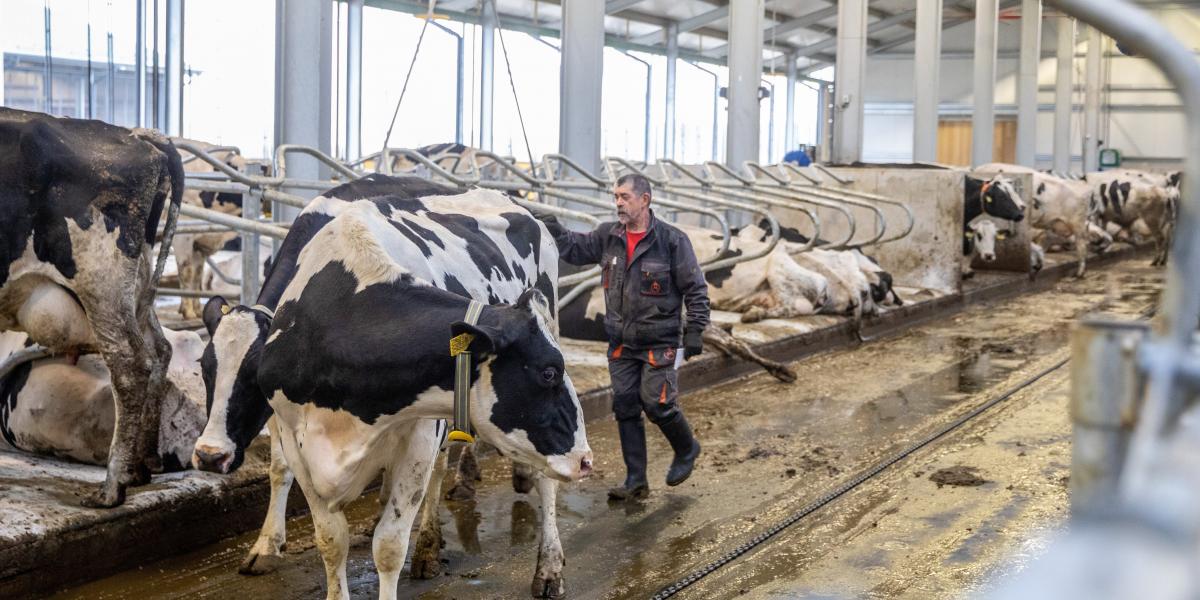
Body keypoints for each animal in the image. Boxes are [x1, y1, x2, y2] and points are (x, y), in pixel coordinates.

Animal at [0, 106, 182, 506]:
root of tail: (136, 135)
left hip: (100, 281)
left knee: (130, 365)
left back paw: (112, 488)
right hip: (136, 287)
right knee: (160, 350)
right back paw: (140, 466)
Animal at [190, 175, 590, 600]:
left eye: (551, 372)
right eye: (204, 369)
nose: (209, 455)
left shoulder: (419, 433)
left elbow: (390, 545)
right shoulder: (295, 435)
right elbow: (326, 534)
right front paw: (268, 546)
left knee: (543, 482)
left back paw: (546, 566)